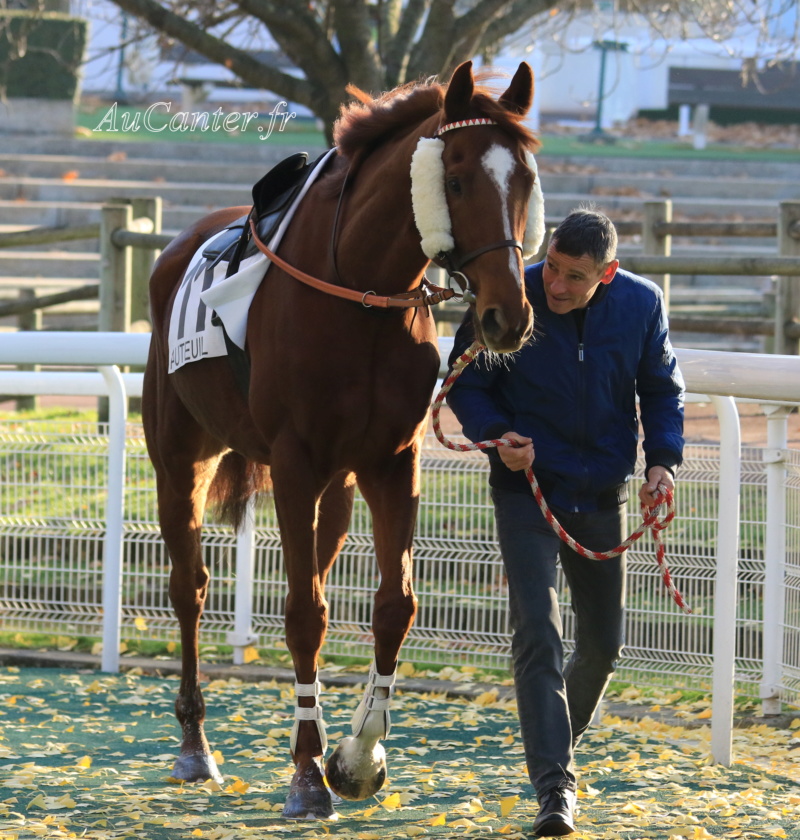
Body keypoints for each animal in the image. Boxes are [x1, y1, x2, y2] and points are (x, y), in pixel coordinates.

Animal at [142, 60, 544, 820]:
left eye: (526, 182)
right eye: (454, 178)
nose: (506, 317)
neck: (361, 291)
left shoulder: (392, 461)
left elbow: (393, 607)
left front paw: (356, 758)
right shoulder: (294, 461)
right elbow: (303, 614)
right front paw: (306, 777)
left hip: (337, 482)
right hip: (181, 457)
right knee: (190, 587)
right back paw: (194, 746)